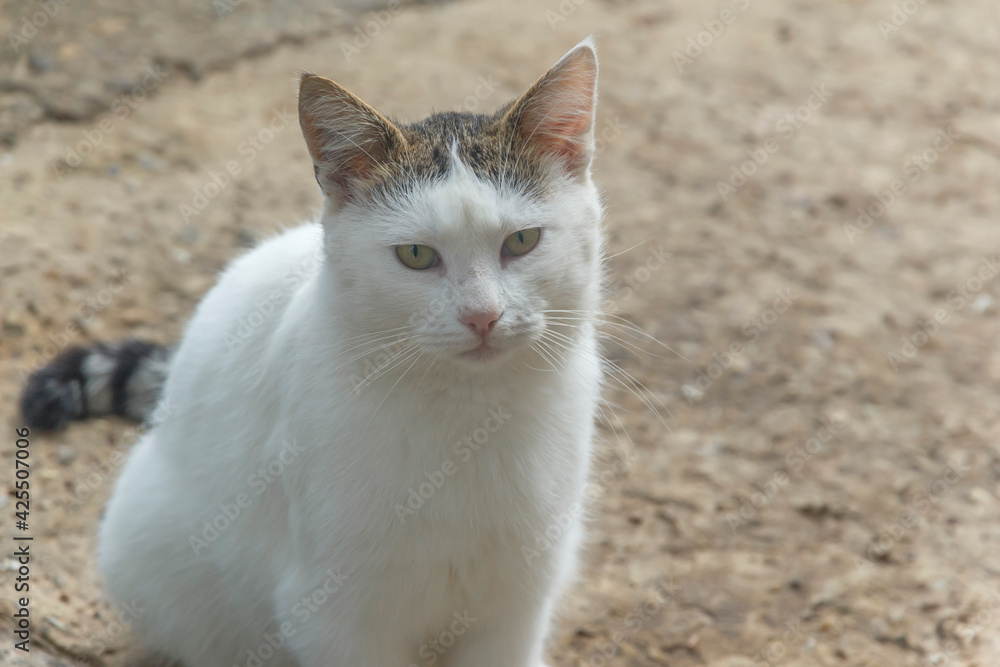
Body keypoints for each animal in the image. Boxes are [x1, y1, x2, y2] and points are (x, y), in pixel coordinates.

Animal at [21, 37, 600, 667]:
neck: (468, 416)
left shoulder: (515, 605)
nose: (482, 316)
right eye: (416, 255)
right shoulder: (336, 615)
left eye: (521, 241)